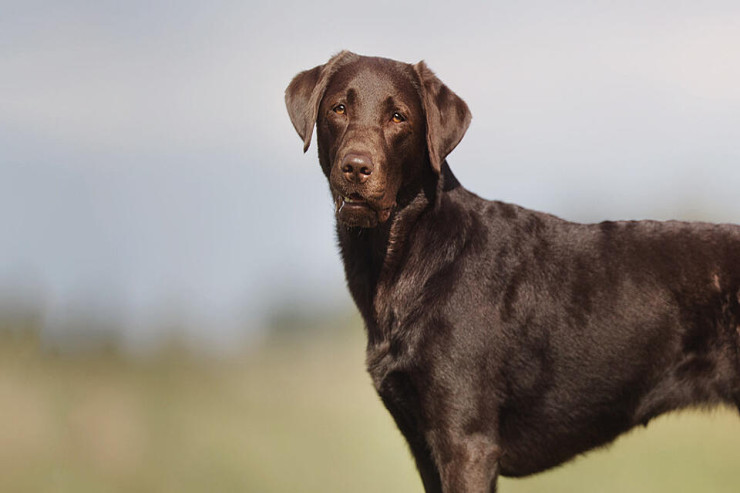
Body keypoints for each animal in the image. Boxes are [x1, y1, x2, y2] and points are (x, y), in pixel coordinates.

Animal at [284, 52, 740, 490]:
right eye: (339, 108)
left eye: (399, 117)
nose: (356, 167)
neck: (404, 261)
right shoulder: (424, 446)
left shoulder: (466, 442)